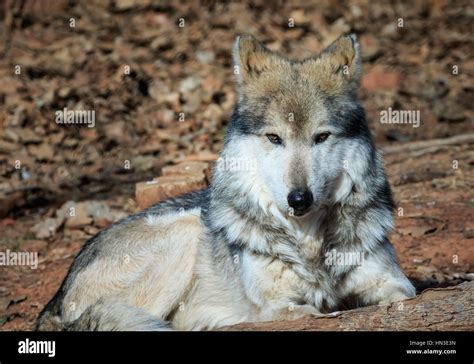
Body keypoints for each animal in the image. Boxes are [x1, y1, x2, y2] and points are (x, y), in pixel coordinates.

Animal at [37, 33, 414, 330]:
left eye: (321, 137)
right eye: (274, 138)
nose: (299, 199)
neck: (308, 242)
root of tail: (53, 303)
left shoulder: (395, 283)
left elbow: (398, 294)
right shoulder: (275, 306)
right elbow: (311, 310)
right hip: (184, 230)